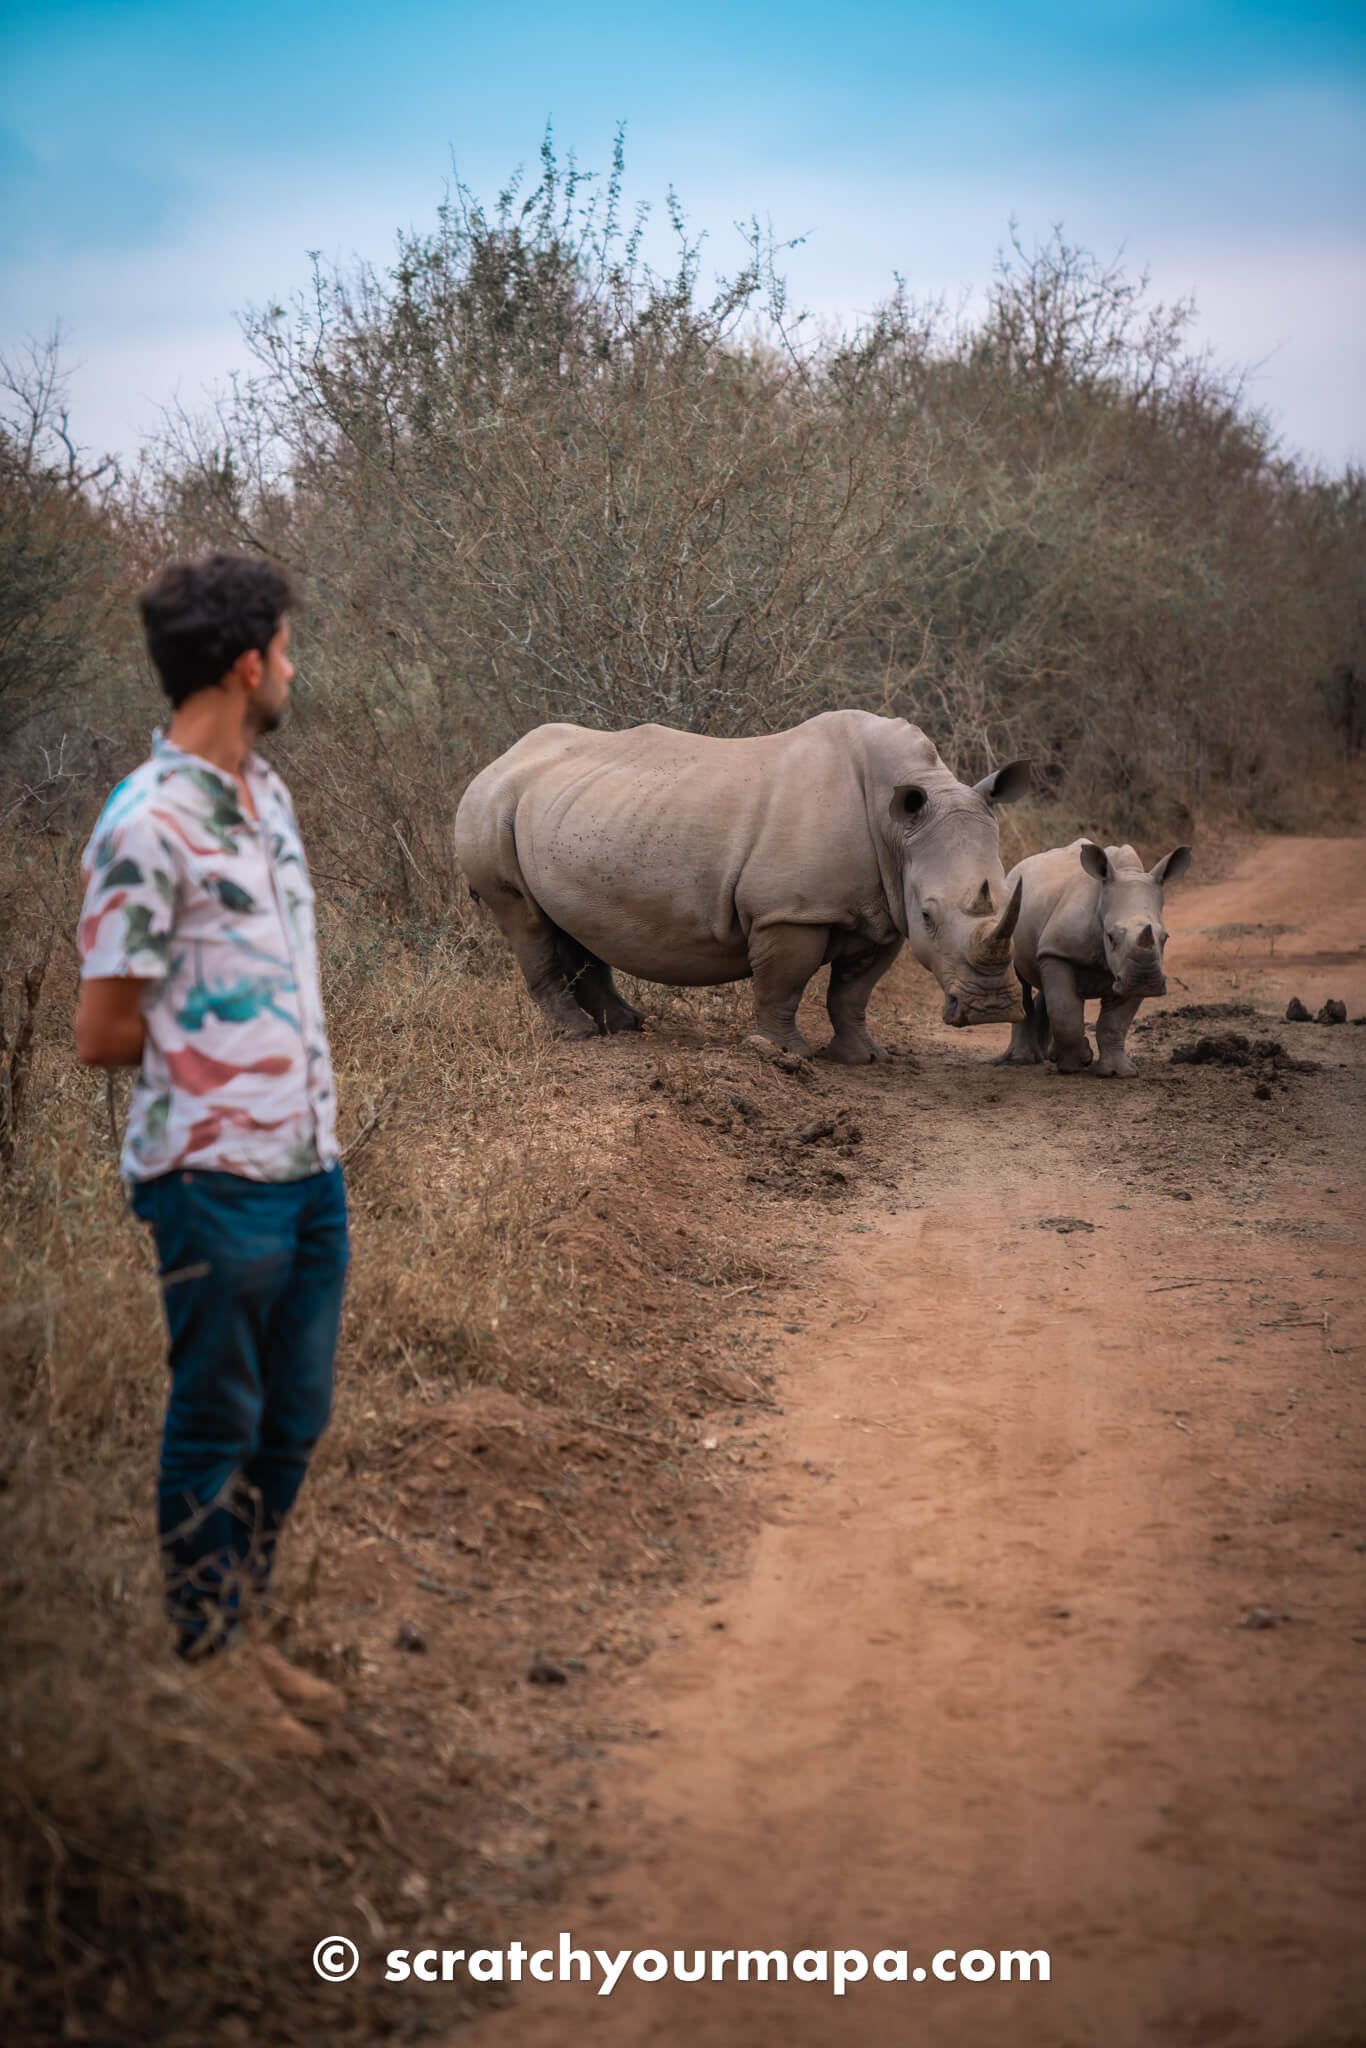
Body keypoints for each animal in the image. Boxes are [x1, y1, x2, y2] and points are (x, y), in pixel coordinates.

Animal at [454, 708, 1032, 1064]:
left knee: (572, 920)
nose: (993, 1011)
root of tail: (500, 758)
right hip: (490, 806)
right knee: (525, 920)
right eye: (930, 915)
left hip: (572, 813)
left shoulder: (884, 913)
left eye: (1010, 900)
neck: (899, 830)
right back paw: (575, 1034)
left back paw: (625, 1026)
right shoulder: (792, 910)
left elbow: (853, 991)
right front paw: (782, 1054)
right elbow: (785, 982)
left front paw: (865, 1057)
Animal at [999, 839, 1187, 1081]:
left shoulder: (1128, 970)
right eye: (1110, 936)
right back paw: (1022, 1060)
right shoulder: (1057, 952)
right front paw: (1073, 1065)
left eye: (1165, 938)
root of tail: (1016, 869)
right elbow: (1065, 1012)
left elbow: (1114, 1023)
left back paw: (1047, 1055)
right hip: (1010, 908)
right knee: (1022, 980)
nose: (1145, 980)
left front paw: (1118, 1072)